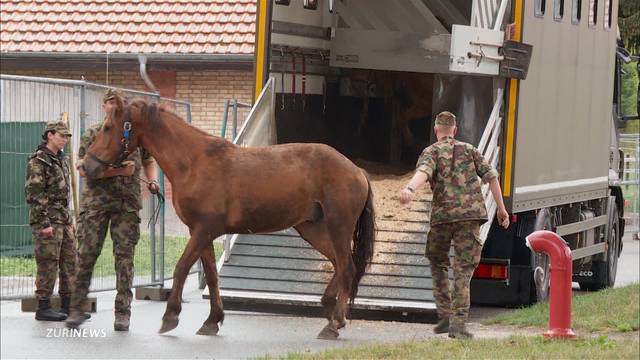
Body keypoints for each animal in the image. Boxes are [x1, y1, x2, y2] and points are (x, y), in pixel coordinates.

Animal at [82, 93, 378, 340]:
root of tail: (357, 171)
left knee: (347, 267)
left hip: (338, 227)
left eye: (108, 127)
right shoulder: (201, 233)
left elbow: (181, 268)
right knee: (340, 265)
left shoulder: (204, 230)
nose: (87, 165)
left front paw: (170, 317)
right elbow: (212, 276)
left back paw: (333, 324)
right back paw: (330, 310)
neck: (194, 162)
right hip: (312, 229)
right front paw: (212, 321)